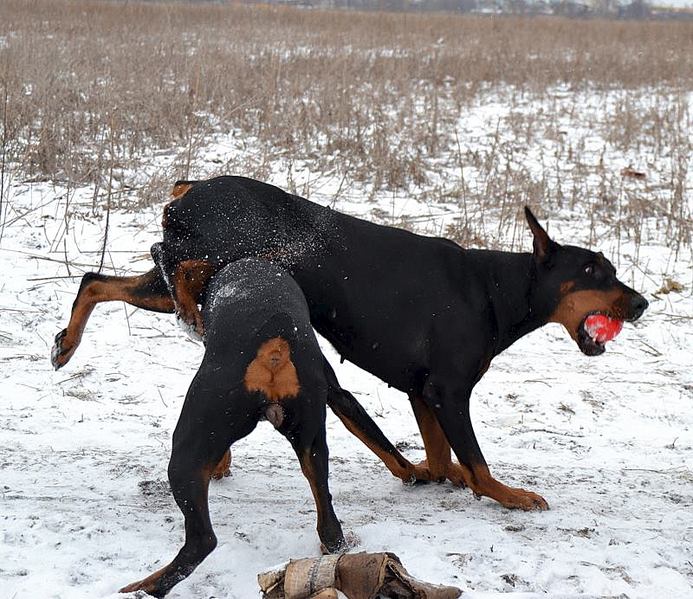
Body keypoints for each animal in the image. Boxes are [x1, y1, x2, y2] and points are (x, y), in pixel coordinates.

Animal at [54, 176, 648, 512]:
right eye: (596, 271)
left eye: (612, 270)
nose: (641, 304)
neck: (497, 291)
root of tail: (190, 187)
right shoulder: (448, 390)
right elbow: (477, 463)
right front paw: (510, 495)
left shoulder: (421, 391)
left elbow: (438, 455)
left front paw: (437, 473)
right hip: (222, 251)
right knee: (168, 262)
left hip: (196, 276)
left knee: (96, 281)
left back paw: (66, 343)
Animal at [120, 258, 352, 599]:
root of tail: (275, 343)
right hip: (312, 439)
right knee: (330, 525)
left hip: (189, 447)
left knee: (202, 541)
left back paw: (146, 586)